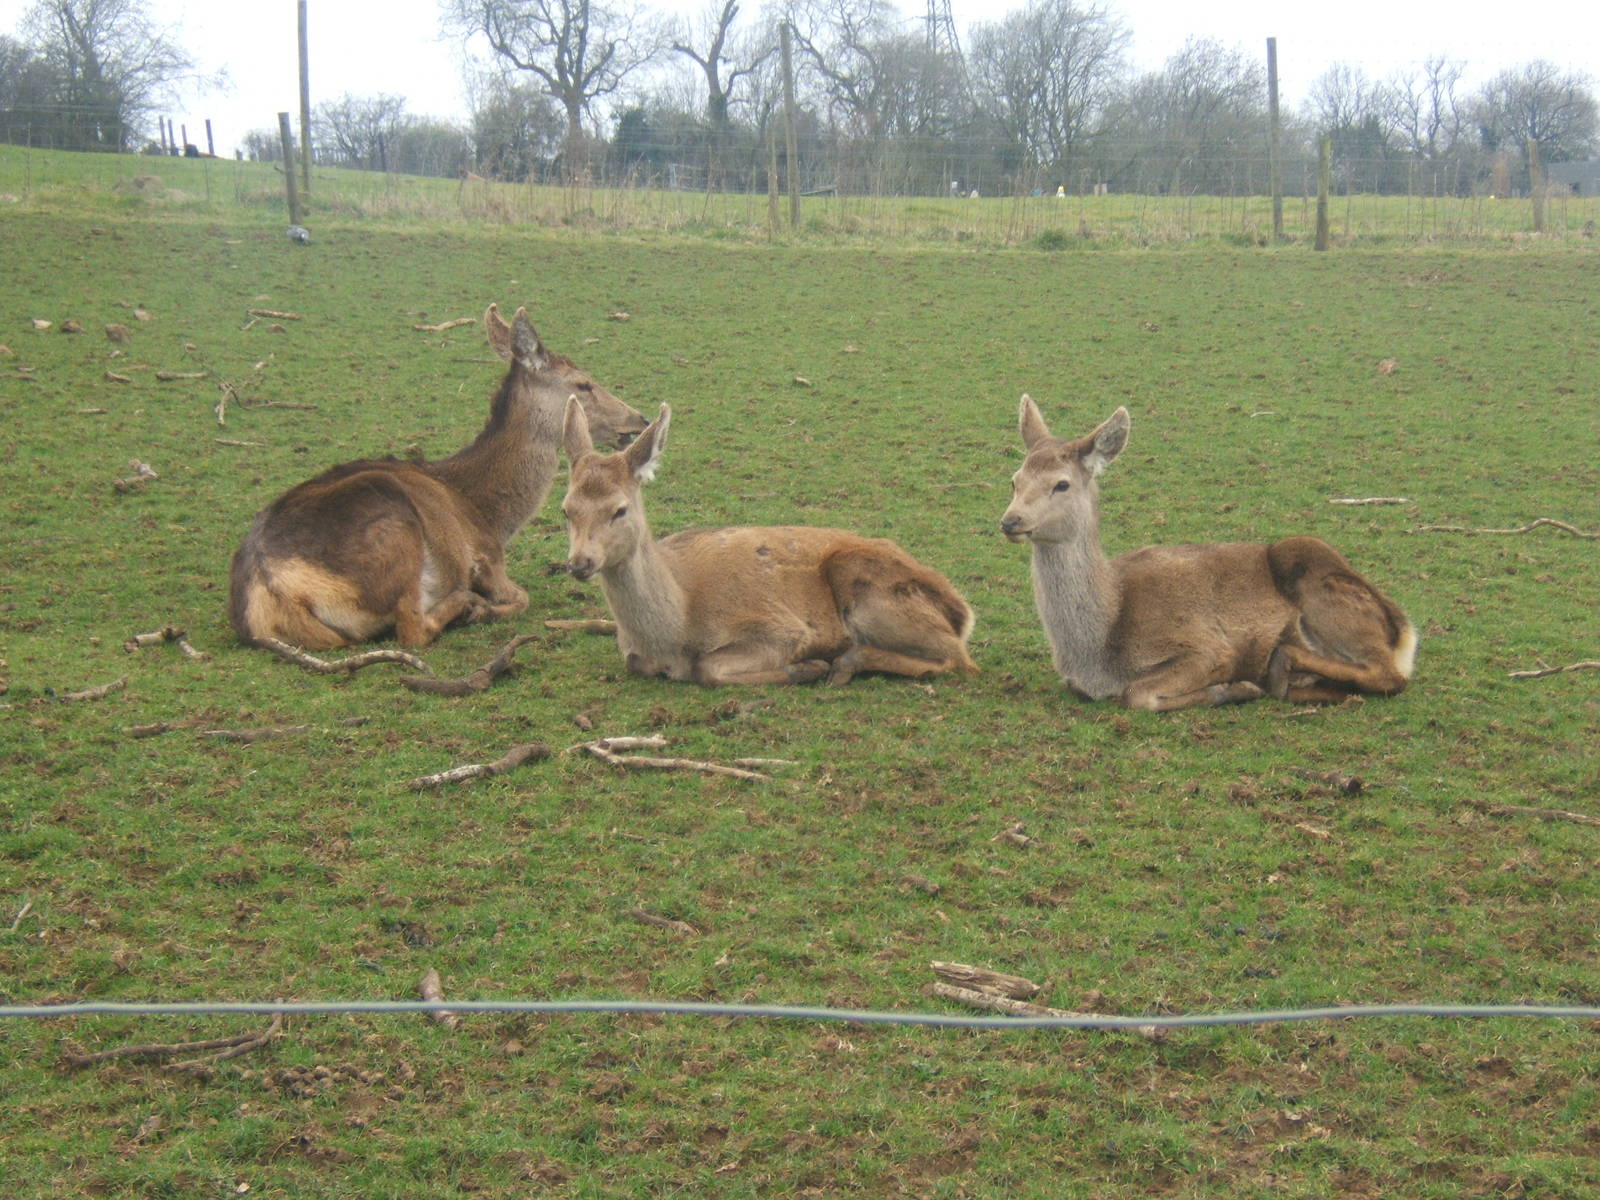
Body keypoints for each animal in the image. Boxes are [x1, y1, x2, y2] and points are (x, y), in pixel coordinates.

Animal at [229, 304, 647, 650]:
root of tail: (275, 593)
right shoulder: (488, 555)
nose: (639, 419)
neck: (489, 514)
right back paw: (466, 603)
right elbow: (522, 597)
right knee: (412, 629)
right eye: (583, 383)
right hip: (396, 532)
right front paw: (483, 604)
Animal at [560, 399, 980, 686]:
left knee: (959, 659)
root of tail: (962, 613)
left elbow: (708, 668)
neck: (676, 629)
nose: (580, 562)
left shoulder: (780, 628)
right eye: (566, 509)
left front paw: (807, 666)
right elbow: (639, 663)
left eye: (619, 510)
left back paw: (844, 662)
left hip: (868, 590)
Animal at [999, 397, 1417, 710]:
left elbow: (1137, 693)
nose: (1010, 520)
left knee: (1390, 675)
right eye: (1015, 479)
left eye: (1062, 484)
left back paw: (1280, 663)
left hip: (1314, 570)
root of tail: (1405, 633)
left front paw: (1231, 689)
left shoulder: (1206, 646)